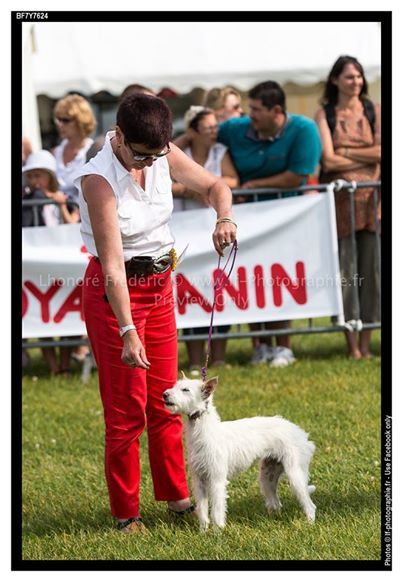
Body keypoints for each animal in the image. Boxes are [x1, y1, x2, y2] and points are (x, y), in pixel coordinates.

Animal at [163, 374, 318, 532]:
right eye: (175, 386)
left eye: (185, 389)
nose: (164, 394)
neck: (204, 431)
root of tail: (302, 434)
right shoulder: (199, 481)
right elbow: (202, 510)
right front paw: (203, 532)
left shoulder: (217, 480)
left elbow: (217, 510)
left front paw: (217, 533)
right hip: (267, 477)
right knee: (275, 503)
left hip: (295, 476)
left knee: (310, 506)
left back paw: (309, 524)